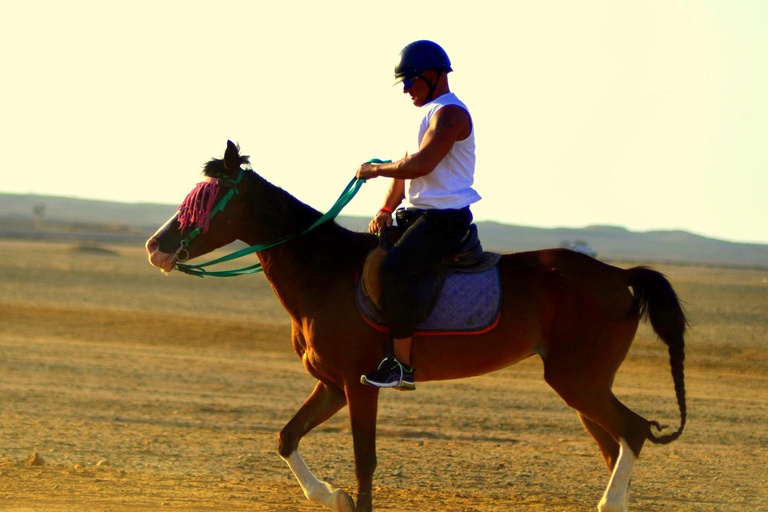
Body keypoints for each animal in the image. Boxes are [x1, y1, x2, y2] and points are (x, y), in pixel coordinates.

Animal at [147, 141, 688, 512]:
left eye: (205, 198)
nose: (155, 246)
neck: (326, 272)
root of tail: (618, 275)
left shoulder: (360, 385)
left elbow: (365, 461)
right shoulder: (332, 386)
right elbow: (287, 438)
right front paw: (331, 496)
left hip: (579, 381)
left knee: (633, 432)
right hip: (583, 386)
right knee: (615, 444)